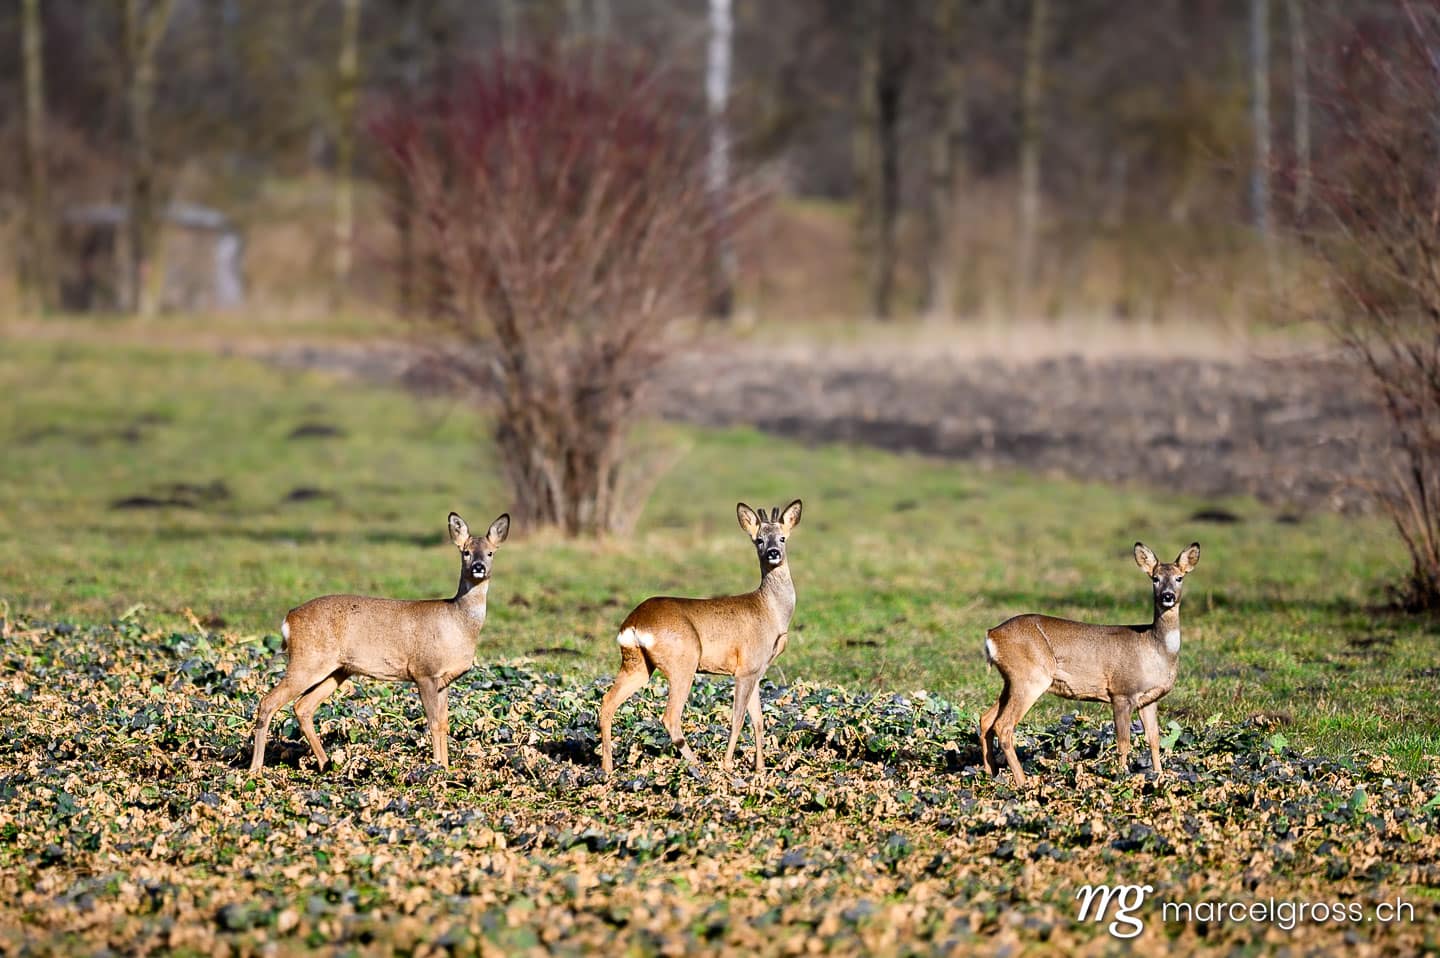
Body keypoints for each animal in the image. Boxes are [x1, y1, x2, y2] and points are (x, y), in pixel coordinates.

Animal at [248, 511, 510, 773]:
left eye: (490, 552)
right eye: (465, 552)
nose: (478, 567)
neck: (457, 623)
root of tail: (289, 618)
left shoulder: (444, 680)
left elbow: (444, 723)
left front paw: (446, 767)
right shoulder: (423, 671)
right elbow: (434, 722)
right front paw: (437, 768)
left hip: (337, 670)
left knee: (302, 707)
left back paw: (325, 764)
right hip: (307, 661)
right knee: (268, 701)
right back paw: (255, 769)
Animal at [599, 500, 802, 778]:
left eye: (782, 537)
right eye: (758, 540)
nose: (773, 552)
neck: (770, 611)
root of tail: (634, 622)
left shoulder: (757, 671)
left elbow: (759, 720)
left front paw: (760, 769)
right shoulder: (746, 669)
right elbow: (737, 718)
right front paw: (728, 765)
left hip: (637, 664)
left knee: (607, 702)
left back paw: (607, 768)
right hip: (683, 662)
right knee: (670, 716)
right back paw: (699, 766)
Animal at [979, 541, 1201, 786]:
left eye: (1180, 577)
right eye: (1155, 578)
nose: (1168, 596)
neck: (1154, 647)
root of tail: (992, 635)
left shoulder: (1149, 699)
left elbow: (1154, 738)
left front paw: (1160, 776)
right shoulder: (1122, 692)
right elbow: (1123, 741)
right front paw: (1121, 776)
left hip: (1011, 681)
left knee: (986, 719)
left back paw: (991, 773)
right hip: (1030, 678)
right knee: (1003, 725)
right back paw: (1022, 781)